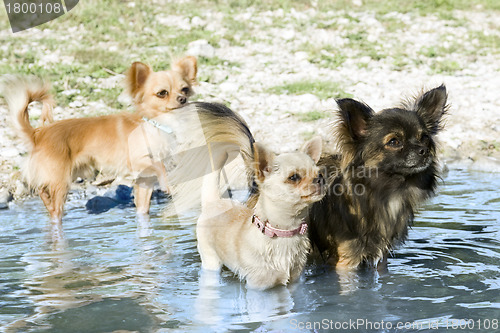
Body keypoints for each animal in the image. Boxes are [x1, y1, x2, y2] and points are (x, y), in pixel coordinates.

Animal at [2, 56, 197, 223]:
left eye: (185, 89)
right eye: (162, 93)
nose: (182, 99)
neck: (156, 124)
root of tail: (38, 133)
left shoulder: (144, 181)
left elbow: (143, 209)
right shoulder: (137, 162)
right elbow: (160, 166)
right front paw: (169, 184)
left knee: (42, 191)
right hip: (61, 180)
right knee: (53, 207)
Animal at [308, 85, 450, 268]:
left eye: (424, 137)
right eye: (394, 142)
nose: (423, 150)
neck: (386, 192)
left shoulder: (382, 254)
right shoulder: (346, 260)